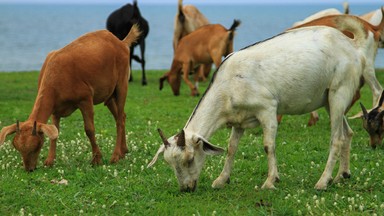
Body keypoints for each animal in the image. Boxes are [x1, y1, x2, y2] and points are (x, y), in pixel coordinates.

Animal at [0, 25, 141, 171]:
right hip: (109, 94)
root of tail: (121, 42)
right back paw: (124, 151)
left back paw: (116, 155)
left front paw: (97, 159)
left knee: (119, 119)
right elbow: (55, 133)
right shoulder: (55, 108)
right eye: (17, 148)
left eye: (37, 146)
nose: (29, 169)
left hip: (122, 83)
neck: (56, 75)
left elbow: (89, 129)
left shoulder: (85, 99)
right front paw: (49, 160)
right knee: (121, 116)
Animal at [148, 16, 384, 191]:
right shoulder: (239, 121)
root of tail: (353, 46)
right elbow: (231, 148)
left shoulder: (267, 108)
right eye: (169, 163)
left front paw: (271, 181)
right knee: (348, 133)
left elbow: (268, 145)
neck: (228, 86)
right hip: (329, 99)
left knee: (336, 138)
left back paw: (323, 181)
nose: (186, 188)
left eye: (189, 159)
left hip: (339, 91)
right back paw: (341, 176)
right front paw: (221, 180)